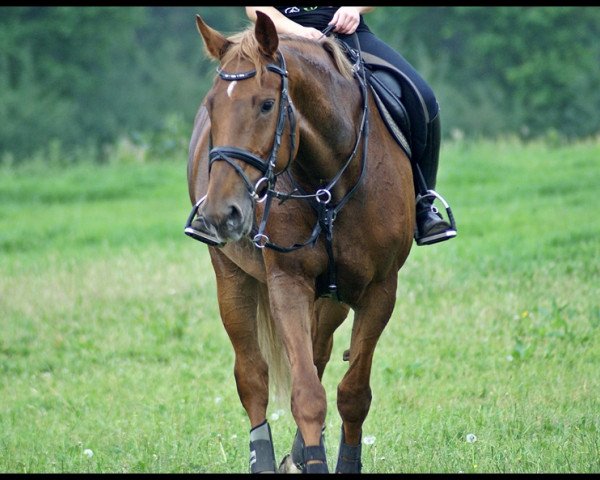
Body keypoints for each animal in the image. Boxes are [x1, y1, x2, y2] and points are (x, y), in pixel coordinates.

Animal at [185, 11, 414, 472]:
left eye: (266, 104)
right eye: (211, 107)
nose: (221, 213)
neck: (330, 181)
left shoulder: (380, 290)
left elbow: (353, 394)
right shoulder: (288, 284)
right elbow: (307, 395)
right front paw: (311, 457)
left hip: (333, 298)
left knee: (320, 353)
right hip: (231, 277)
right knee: (253, 377)